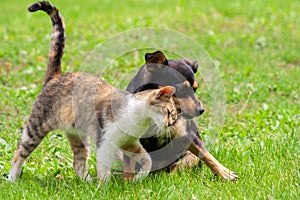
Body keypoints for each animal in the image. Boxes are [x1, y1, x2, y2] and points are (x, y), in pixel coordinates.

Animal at [7, 1, 178, 183]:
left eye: (174, 116)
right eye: (168, 112)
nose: (170, 123)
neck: (138, 120)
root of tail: (56, 76)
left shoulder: (129, 143)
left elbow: (147, 160)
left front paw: (138, 178)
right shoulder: (105, 143)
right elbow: (104, 170)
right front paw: (104, 186)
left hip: (78, 136)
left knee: (78, 163)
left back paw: (87, 182)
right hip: (36, 127)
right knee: (19, 152)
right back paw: (11, 178)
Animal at [123, 50, 238, 180]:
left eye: (195, 89)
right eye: (181, 90)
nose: (201, 110)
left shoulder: (187, 134)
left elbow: (206, 154)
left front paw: (224, 173)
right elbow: (128, 167)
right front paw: (127, 182)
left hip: (188, 158)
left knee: (175, 169)